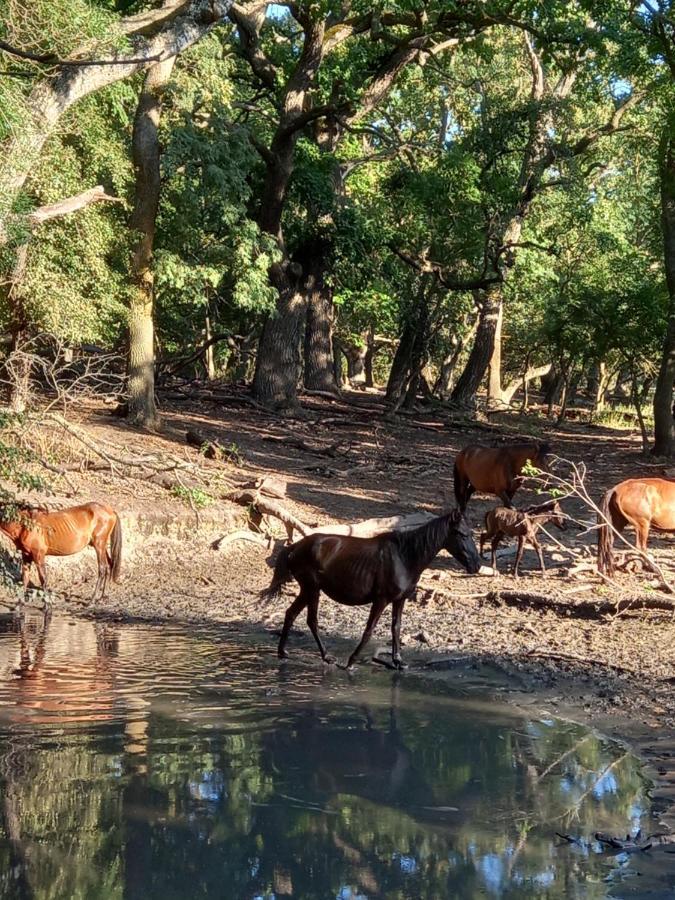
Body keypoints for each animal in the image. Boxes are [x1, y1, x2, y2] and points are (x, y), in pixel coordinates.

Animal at [258, 510, 480, 672]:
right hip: (312, 589)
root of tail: (294, 547)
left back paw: (283, 652)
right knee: (310, 620)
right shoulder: (381, 600)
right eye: (461, 534)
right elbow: (369, 630)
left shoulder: (400, 600)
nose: (476, 565)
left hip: (308, 590)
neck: (404, 556)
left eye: (470, 533)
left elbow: (396, 628)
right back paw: (326, 657)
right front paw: (351, 661)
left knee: (291, 614)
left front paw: (398, 661)